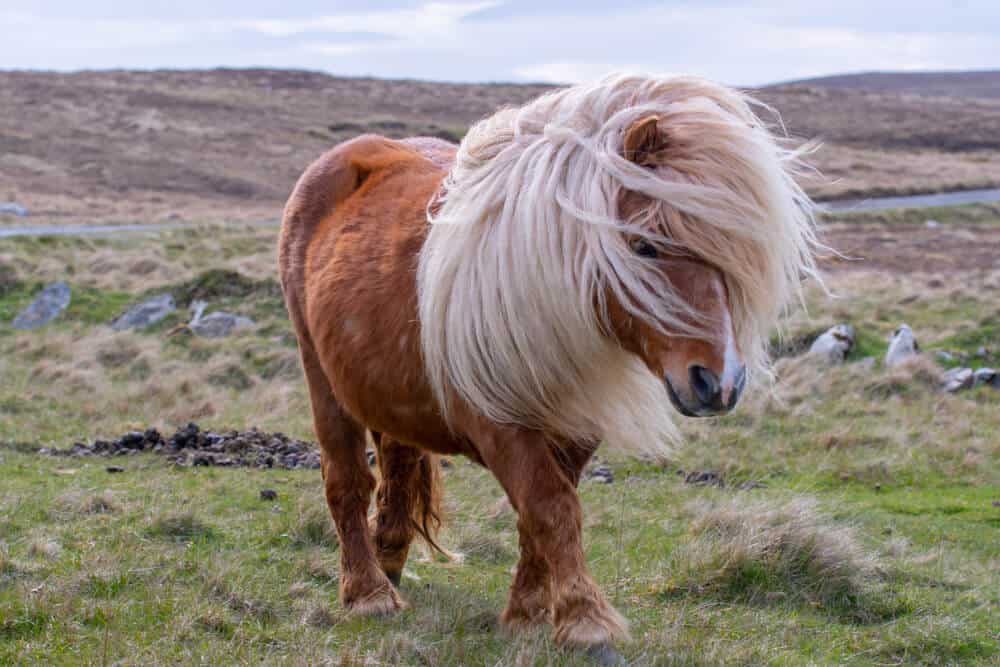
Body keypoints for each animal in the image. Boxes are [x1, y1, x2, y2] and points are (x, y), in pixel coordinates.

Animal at [278, 73, 819, 661]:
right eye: (644, 246)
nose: (718, 383)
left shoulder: (576, 424)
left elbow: (538, 516)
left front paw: (528, 612)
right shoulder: (499, 422)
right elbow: (550, 506)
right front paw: (585, 621)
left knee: (398, 466)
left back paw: (390, 564)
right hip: (321, 375)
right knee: (347, 480)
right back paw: (368, 594)